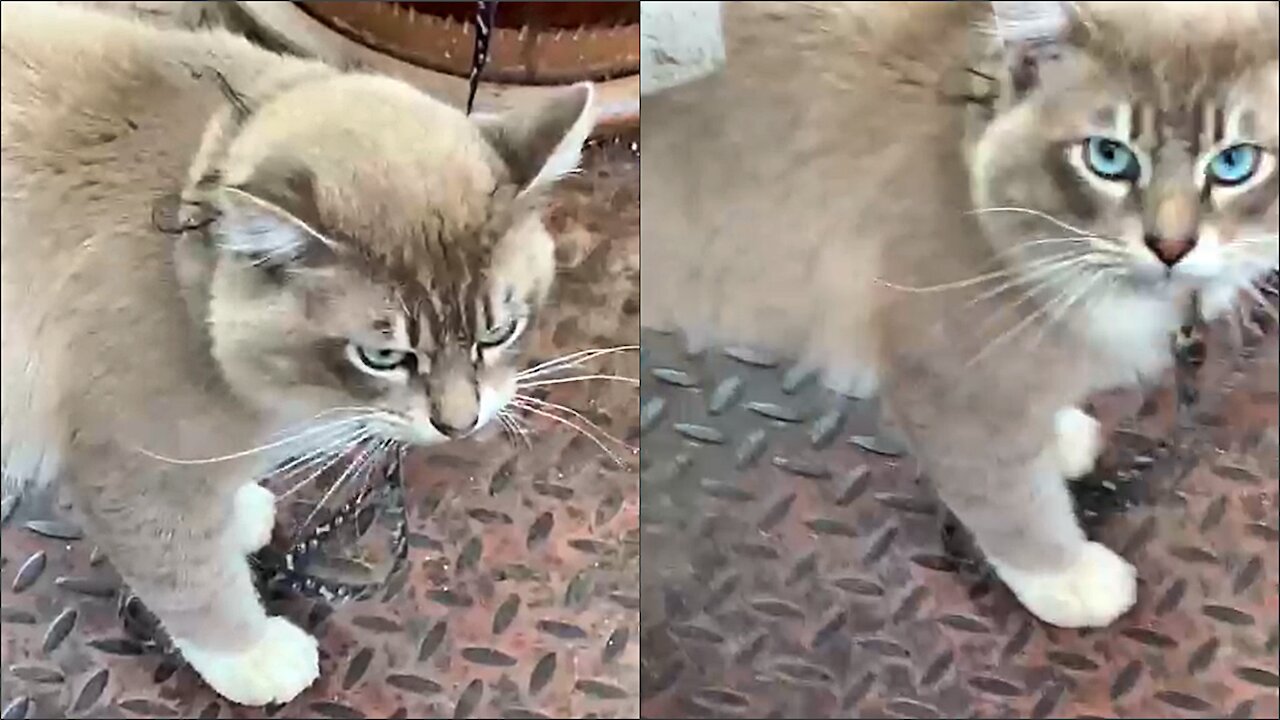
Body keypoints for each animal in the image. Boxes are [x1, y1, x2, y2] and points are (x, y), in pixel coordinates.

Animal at [0, 2, 596, 702]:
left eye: (497, 334)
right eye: (383, 358)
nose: (459, 424)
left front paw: (238, 515)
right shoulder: (133, 476)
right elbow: (194, 581)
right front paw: (251, 655)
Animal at [645, 1, 1274, 627]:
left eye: (1235, 163)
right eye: (1109, 157)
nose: (1171, 248)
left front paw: (1058, 439)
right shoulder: (949, 390)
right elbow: (1015, 504)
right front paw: (1068, 580)